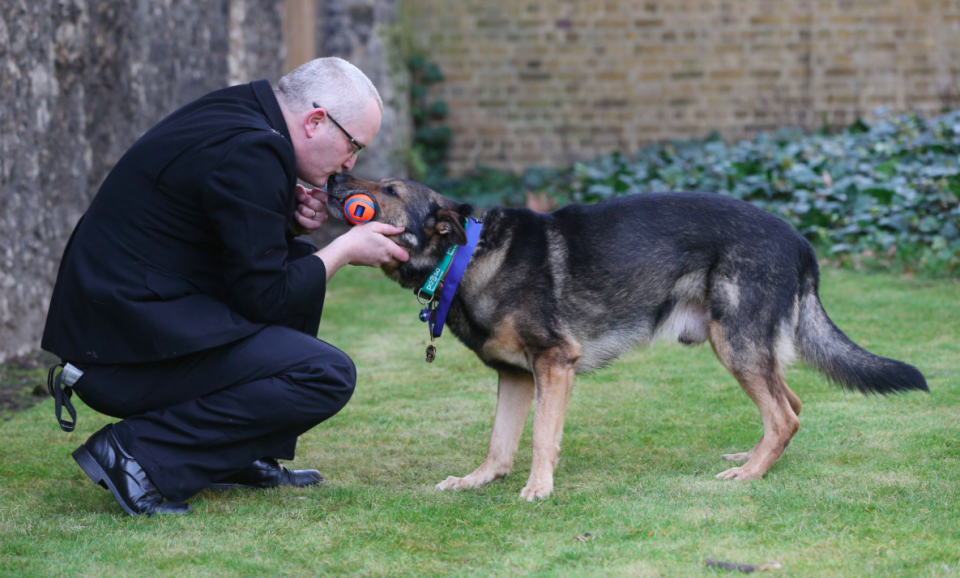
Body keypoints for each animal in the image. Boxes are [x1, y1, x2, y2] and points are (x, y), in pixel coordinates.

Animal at [324, 172, 928, 500]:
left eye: (389, 189)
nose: (331, 180)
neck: (466, 255)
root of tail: (799, 242)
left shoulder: (553, 365)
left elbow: (541, 436)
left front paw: (539, 488)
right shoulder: (514, 376)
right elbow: (499, 442)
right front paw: (479, 480)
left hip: (734, 343)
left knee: (785, 414)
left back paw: (750, 473)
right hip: (745, 349)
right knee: (791, 404)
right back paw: (757, 456)